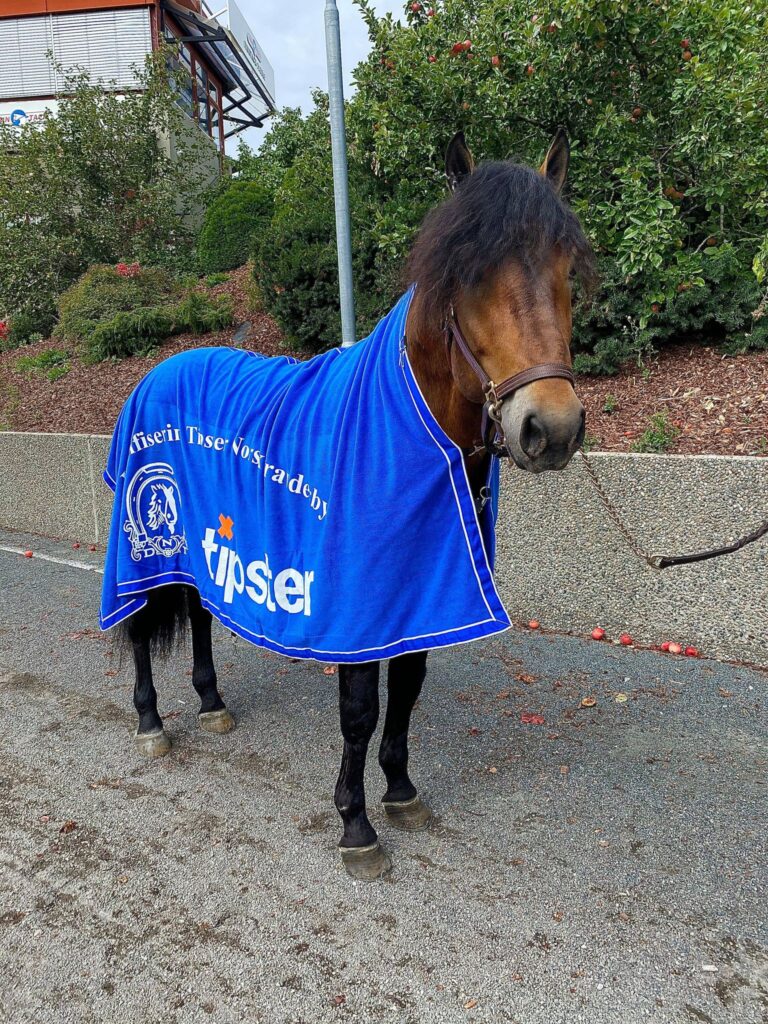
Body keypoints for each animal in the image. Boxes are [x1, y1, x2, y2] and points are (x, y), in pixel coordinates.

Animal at [111, 130, 594, 880]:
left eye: (566, 265)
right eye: (469, 273)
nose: (553, 427)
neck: (403, 430)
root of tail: (160, 368)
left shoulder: (421, 592)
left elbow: (409, 689)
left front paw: (401, 792)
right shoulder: (357, 607)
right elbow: (361, 709)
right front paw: (356, 823)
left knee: (199, 613)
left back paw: (213, 704)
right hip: (146, 546)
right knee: (139, 625)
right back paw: (150, 722)